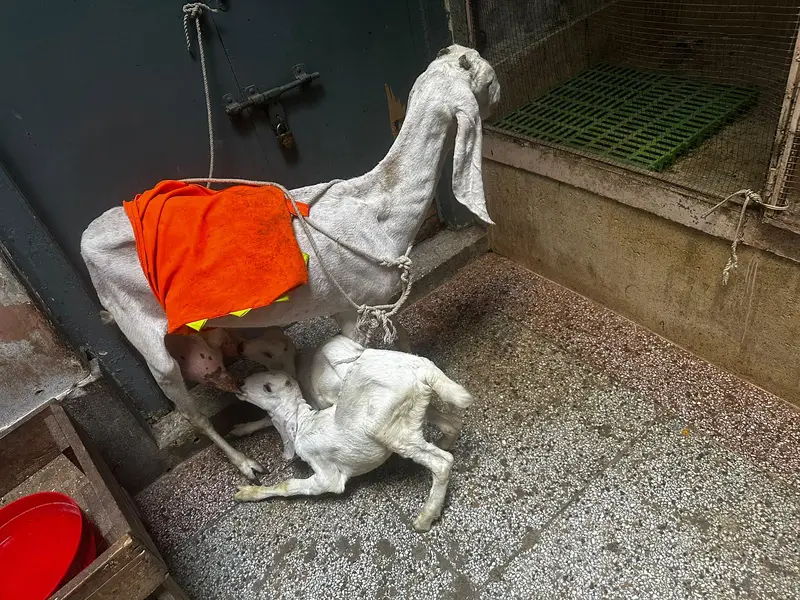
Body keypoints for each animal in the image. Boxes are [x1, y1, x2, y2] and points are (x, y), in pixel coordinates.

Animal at [80, 45, 499, 479]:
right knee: (191, 411)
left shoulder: (380, 304)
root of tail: (85, 242)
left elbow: (402, 347)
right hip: (145, 339)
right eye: (488, 78)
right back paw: (246, 464)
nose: (497, 92)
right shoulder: (353, 308)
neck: (376, 210)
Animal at [233, 341, 474, 532]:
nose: (239, 384)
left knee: (442, 462)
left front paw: (247, 493)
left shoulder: (327, 474)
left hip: (387, 426)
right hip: (416, 408)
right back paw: (444, 443)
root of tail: (424, 368)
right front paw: (238, 429)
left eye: (267, 388)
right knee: (452, 423)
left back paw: (425, 518)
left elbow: (290, 485)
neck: (304, 423)